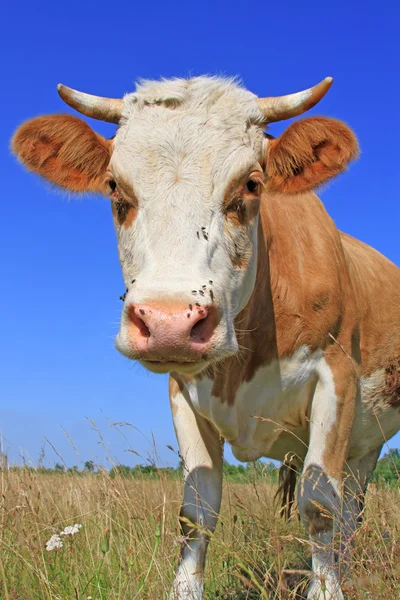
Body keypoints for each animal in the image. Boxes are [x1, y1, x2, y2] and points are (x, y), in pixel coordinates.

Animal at [11, 76, 400, 600]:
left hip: (366, 441)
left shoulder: (336, 378)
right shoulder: (183, 393)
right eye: (114, 187)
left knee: (351, 511)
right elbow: (196, 513)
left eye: (252, 184)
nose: (169, 322)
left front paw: (328, 588)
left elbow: (320, 505)